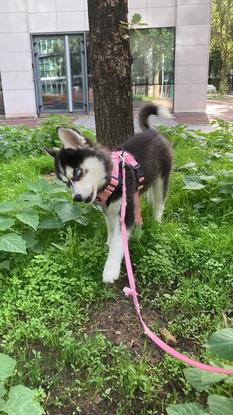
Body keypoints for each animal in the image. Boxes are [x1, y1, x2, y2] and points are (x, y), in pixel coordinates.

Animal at [46, 105, 173, 284]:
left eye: (77, 172)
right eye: (66, 183)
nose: (76, 198)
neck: (113, 179)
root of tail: (152, 131)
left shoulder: (126, 212)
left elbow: (119, 242)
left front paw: (110, 269)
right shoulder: (109, 211)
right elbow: (111, 229)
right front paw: (108, 242)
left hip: (163, 176)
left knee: (160, 201)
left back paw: (156, 220)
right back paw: (148, 198)